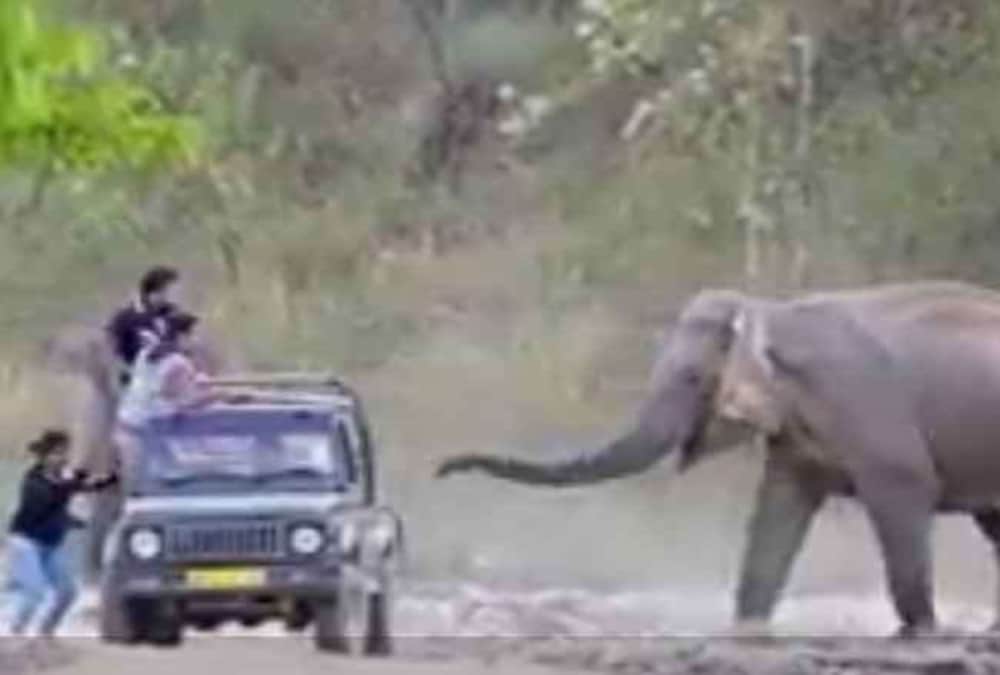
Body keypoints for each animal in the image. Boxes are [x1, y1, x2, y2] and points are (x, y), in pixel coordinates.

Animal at [435, 280, 1000, 637]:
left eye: (691, 377)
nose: (442, 469)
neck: (771, 309)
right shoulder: (795, 442)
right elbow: (778, 512)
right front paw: (746, 628)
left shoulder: (865, 406)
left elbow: (906, 492)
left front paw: (922, 631)